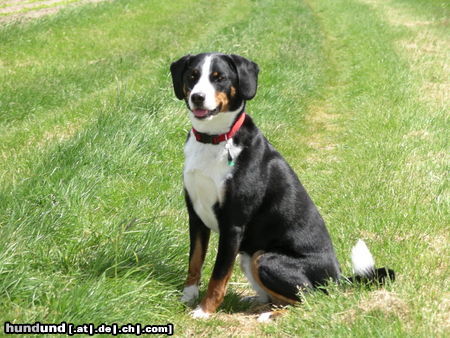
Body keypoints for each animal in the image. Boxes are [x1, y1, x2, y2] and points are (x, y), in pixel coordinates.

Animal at [169, 52, 394, 320]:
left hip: (264, 258)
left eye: (219, 77)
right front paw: (187, 297)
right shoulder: (196, 214)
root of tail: (337, 279)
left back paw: (270, 315)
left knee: (310, 299)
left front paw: (204, 310)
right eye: (192, 76)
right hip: (250, 256)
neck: (214, 140)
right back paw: (255, 302)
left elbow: (218, 276)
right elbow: (194, 262)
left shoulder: (233, 224)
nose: (197, 97)